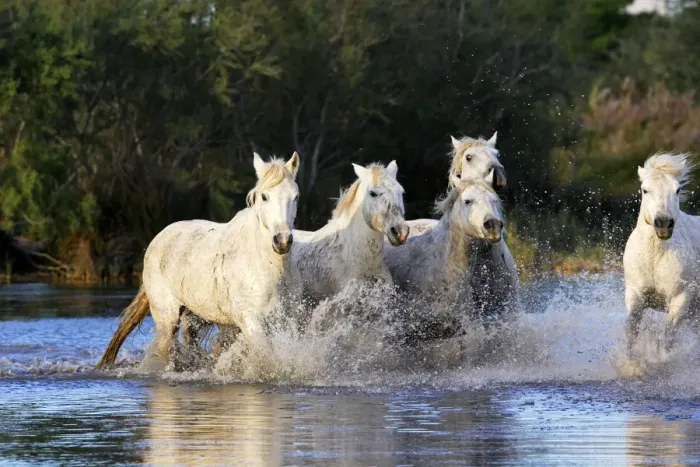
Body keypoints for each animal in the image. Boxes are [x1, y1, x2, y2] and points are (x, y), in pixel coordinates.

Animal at [96, 152, 302, 371]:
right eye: (264, 196)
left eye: (295, 197)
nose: (282, 241)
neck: (266, 268)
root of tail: (157, 240)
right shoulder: (250, 320)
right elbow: (265, 354)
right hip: (167, 319)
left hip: (194, 317)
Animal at [624, 152, 700, 355]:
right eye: (645, 190)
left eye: (678, 190)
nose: (663, 224)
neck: (654, 258)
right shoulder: (635, 296)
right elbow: (630, 334)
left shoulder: (680, 300)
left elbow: (667, 340)